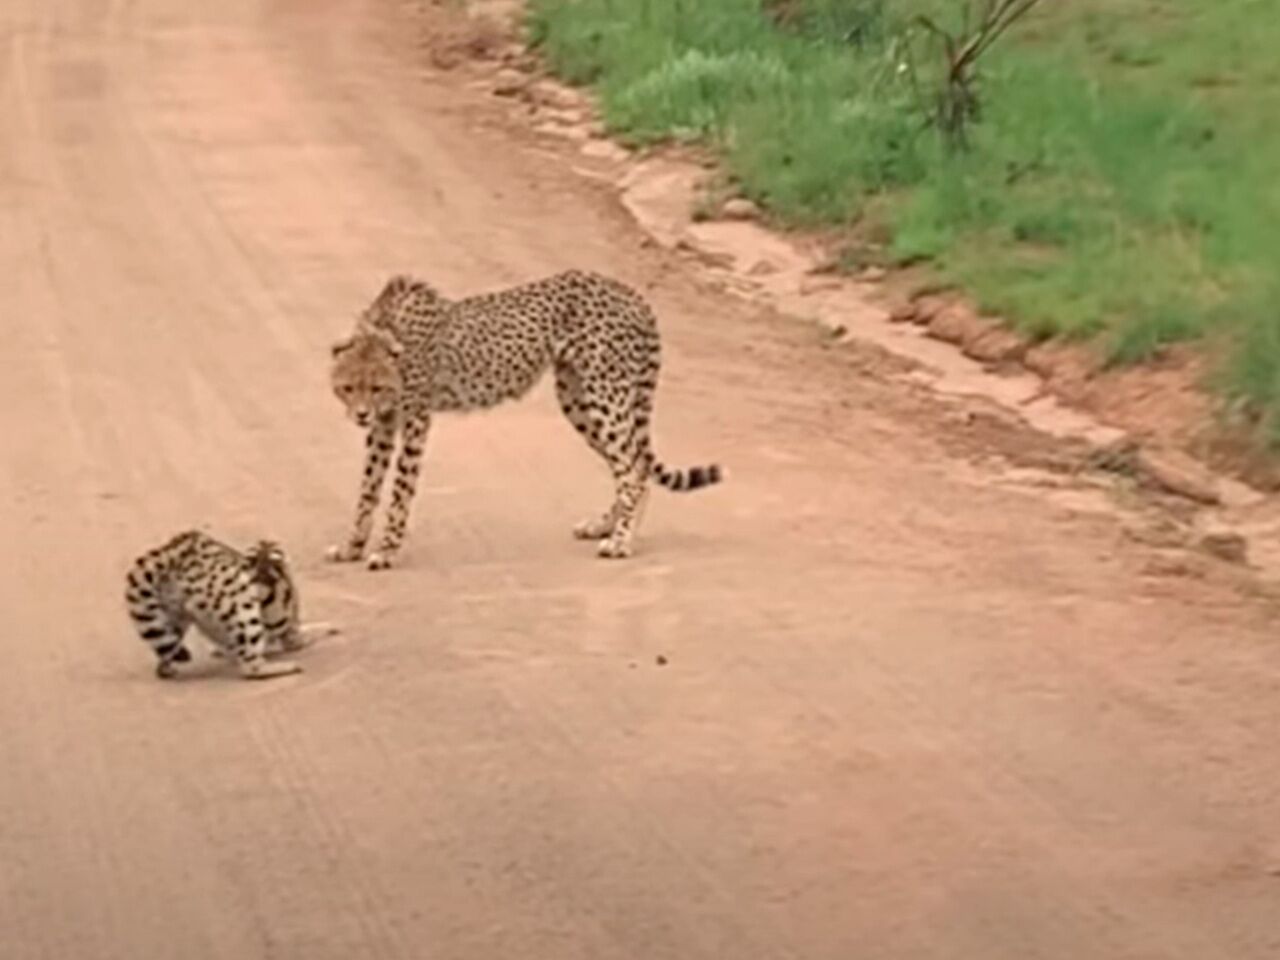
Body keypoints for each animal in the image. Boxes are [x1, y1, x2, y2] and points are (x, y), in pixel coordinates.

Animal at [124, 529, 330, 680]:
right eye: (273, 552)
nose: (268, 544)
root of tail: (175, 551)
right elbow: (298, 636)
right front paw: (324, 629)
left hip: (166, 608)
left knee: (166, 642)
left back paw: (165, 667)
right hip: (237, 597)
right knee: (249, 663)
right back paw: (263, 667)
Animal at [327, 268, 721, 570]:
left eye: (377, 387)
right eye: (348, 388)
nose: (360, 413)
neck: (386, 330)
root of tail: (628, 290)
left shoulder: (415, 419)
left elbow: (399, 490)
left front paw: (385, 552)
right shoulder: (384, 424)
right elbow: (368, 486)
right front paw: (352, 547)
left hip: (605, 396)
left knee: (633, 469)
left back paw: (621, 541)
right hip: (578, 399)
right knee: (631, 464)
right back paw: (606, 527)